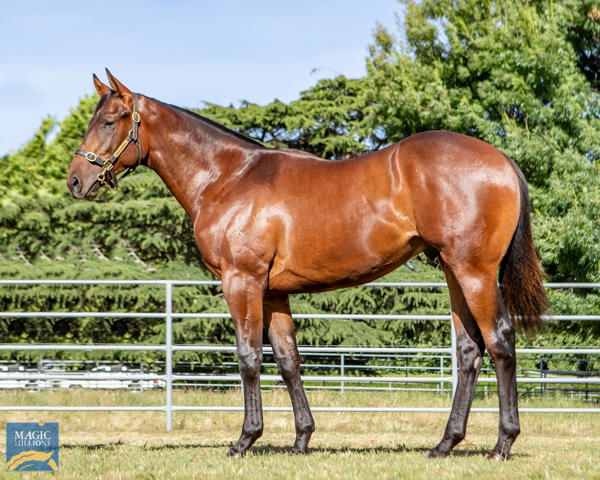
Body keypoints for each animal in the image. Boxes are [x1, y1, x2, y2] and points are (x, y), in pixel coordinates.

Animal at [67, 71, 548, 462]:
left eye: (110, 121)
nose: (75, 180)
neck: (227, 177)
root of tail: (501, 160)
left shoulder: (241, 282)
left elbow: (248, 358)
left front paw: (245, 440)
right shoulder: (274, 291)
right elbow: (287, 361)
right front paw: (301, 439)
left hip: (475, 272)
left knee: (500, 341)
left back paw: (503, 443)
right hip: (453, 270)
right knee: (469, 351)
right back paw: (445, 444)